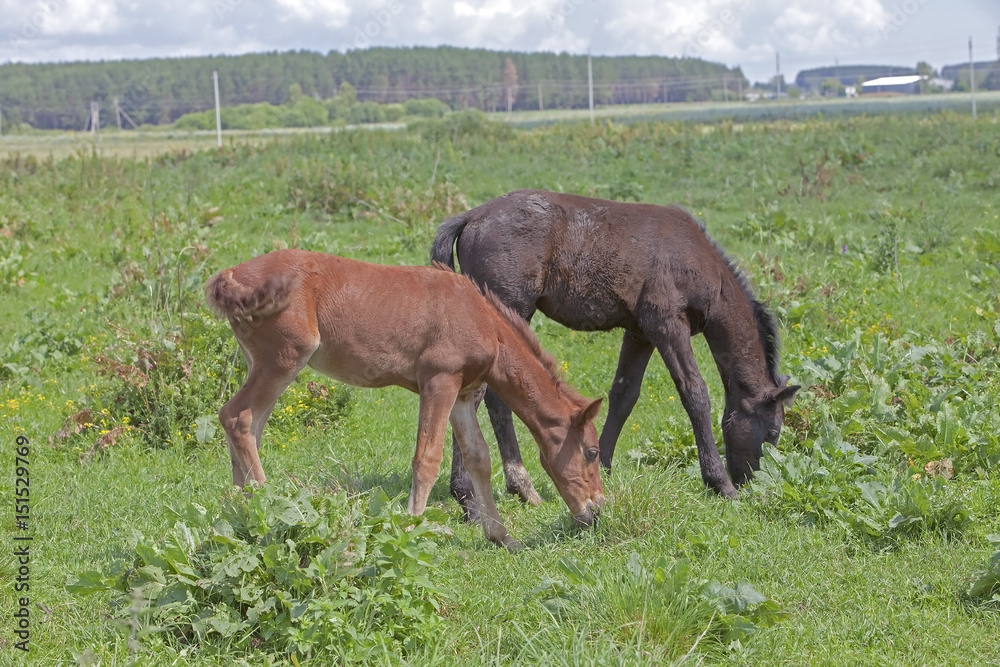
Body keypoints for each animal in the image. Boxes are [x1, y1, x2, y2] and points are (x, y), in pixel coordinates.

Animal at [204, 249, 604, 550]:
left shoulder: (461, 394)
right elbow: (427, 458)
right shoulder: (439, 381)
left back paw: (241, 516)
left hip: (262, 362)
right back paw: (269, 509)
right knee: (237, 417)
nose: (596, 510)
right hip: (284, 358)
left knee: (248, 428)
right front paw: (410, 531)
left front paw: (501, 536)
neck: (481, 318)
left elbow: (478, 459)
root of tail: (230, 273)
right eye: (592, 451)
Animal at [431, 190, 799, 516]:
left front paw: (603, 467)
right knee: (475, 396)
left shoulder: (640, 332)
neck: (698, 260)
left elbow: (624, 394)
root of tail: (471, 217)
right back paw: (470, 499)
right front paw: (720, 483)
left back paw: (520, 487)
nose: (753, 482)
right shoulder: (667, 324)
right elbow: (694, 392)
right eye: (773, 432)